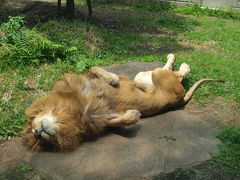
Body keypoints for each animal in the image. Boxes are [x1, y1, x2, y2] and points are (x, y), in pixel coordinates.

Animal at [21, 53, 224, 152]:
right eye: (37, 138)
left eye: (33, 126)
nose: (37, 132)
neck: (71, 115)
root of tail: (180, 98)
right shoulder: (101, 117)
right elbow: (119, 121)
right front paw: (134, 114)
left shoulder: (85, 82)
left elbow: (94, 67)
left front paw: (113, 79)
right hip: (146, 76)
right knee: (175, 73)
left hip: (154, 75)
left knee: (178, 72)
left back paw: (181, 62)